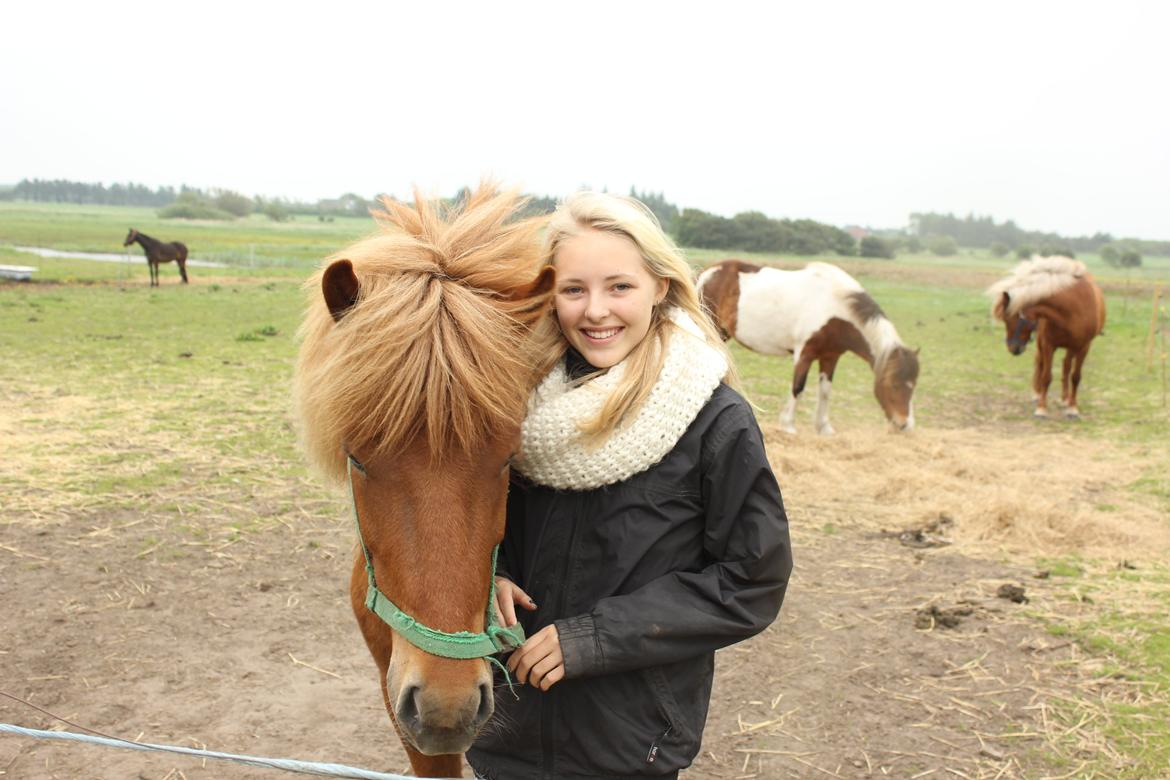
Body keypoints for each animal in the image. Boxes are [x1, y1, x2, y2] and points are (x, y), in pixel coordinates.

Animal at [697, 260, 917, 432]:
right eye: (894, 385)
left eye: (913, 387)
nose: (904, 424)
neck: (834, 307)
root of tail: (708, 272)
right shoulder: (804, 353)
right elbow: (798, 387)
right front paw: (788, 425)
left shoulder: (830, 356)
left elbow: (825, 390)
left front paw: (824, 427)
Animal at [987, 256, 1104, 418]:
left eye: (1010, 319)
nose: (1013, 348)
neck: (1073, 309)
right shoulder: (1049, 344)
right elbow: (1046, 376)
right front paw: (1041, 408)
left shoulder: (1084, 346)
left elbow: (1075, 376)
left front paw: (1072, 407)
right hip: (1042, 343)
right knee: (1041, 363)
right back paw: (1038, 394)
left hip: (1072, 347)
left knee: (1066, 366)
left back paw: (1065, 399)